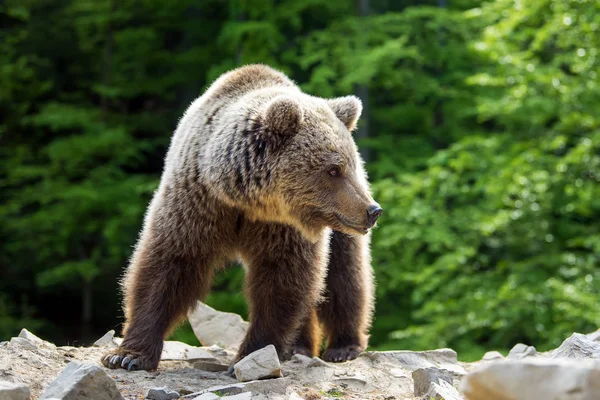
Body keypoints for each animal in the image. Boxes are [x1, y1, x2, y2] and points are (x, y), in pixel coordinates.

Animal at [102, 63, 380, 372]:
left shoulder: (282, 228)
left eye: (348, 165)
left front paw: (253, 352)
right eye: (333, 169)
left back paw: (343, 346)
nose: (372, 210)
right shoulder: (196, 203)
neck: (245, 200)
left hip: (340, 230)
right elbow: (167, 266)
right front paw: (127, 355)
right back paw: (299, 346)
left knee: (345, 274)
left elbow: (283, 279)